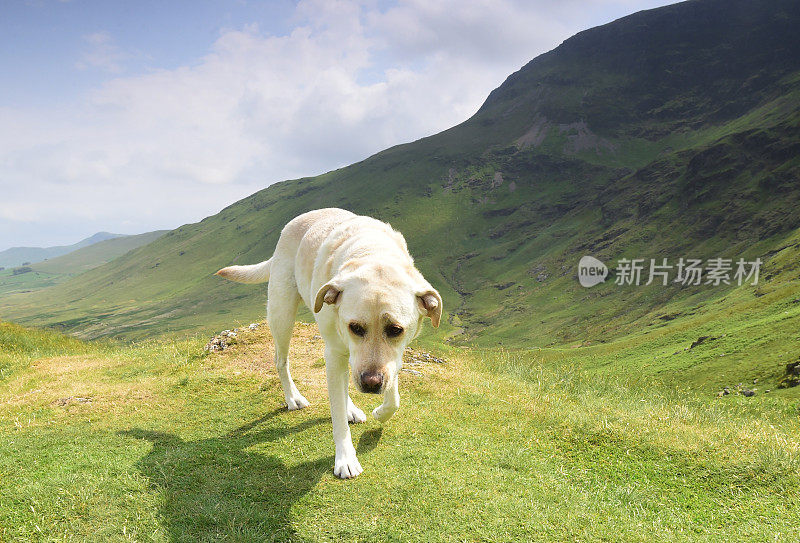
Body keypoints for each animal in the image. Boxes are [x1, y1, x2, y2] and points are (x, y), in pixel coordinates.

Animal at [216, 206, 440, 478]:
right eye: (355, 327)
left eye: (396, 329)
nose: (371, 384)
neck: (373, 254)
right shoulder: (334, 353)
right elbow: (338, 418)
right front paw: (345, 459)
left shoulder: (390, 358)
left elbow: (393, 397)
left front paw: (380, 411)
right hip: (283, 315)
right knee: (281, 361)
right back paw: (293, 398)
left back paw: (351, 407)